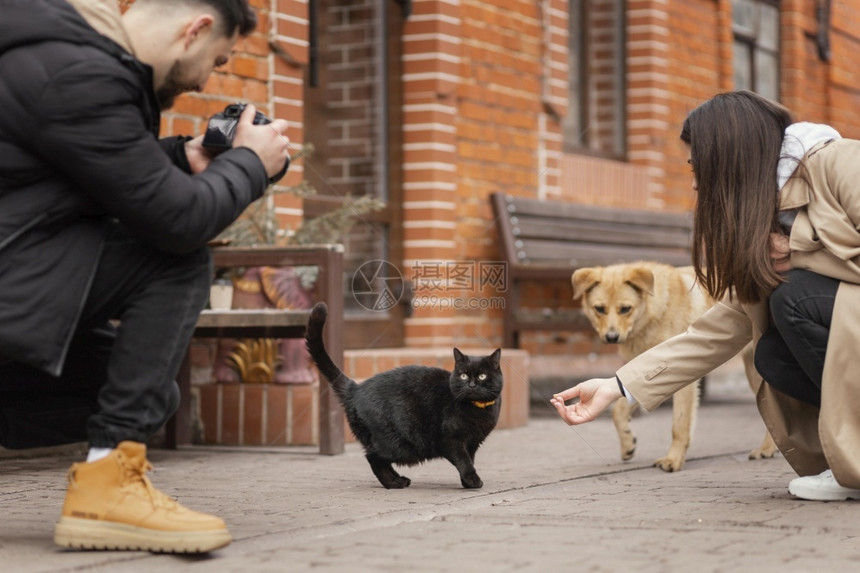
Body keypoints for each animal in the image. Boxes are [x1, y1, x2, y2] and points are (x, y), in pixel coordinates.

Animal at [304, 302, 500, 490]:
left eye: (482, 376)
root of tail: (355, 388)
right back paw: (393, 483)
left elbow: (469, 460)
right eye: (464, 376)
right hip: (398, 445)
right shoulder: (452, 440)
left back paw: (399, 480)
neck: (478, 409)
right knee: (374, 458)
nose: (472, 385)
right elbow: (464, 461)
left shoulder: (473, 443)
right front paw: (472, 480)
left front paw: (467, 482)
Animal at [572, 262, 780, 472]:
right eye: (599, 309)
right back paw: (769, 448)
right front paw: (627, 443)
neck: (656, 311)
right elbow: (619, 409)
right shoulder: (647, 374)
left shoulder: (683, 380)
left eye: (625, 309)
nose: (611, 337)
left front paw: (673, 459)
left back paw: (768, 448)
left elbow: (679, 425)